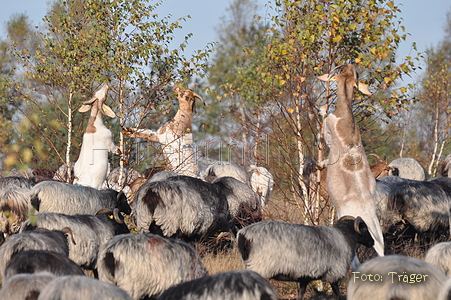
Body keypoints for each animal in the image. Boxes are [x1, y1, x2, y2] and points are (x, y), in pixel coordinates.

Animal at [237, 214, 374, 298]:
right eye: (364, 228)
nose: (372, 242)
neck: (345, 237)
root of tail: (243, 235)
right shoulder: (334, 273)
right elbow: (338, 294)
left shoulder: (305, 276)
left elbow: (301, 294)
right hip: (258, 268)